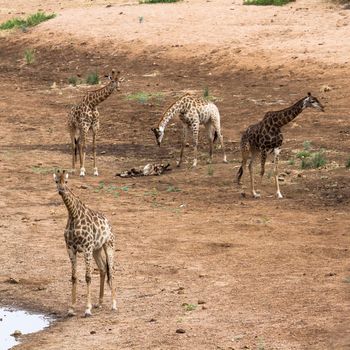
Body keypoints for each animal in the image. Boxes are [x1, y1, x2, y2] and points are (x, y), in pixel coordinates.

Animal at [52, 170, 117, 318]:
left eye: (66, 181)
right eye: (56, 181)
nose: (61, 190)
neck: (73, 214)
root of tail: (108, 222)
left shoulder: (86, 248)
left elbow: (87, 277)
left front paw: (87, 309)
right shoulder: (71, 249)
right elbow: (74, 277)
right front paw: (71, 308)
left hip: (108, 245)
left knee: (111, 270)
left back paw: (114, 304)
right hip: (96, 249)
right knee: (103, 268)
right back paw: (99, 302)